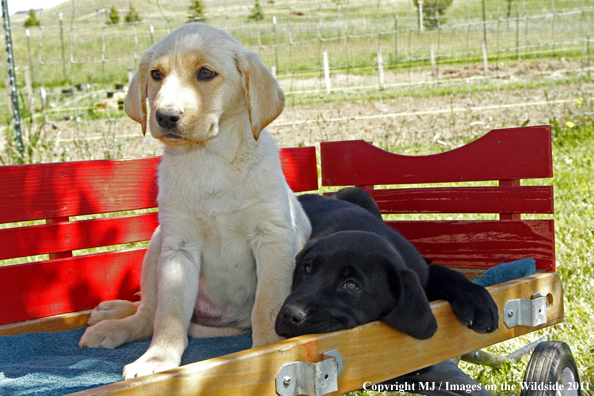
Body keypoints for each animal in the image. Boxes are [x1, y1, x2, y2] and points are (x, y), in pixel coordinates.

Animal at [80, 22, 310, 380]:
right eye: (156, 74)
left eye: (205, 73)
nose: (165, 115)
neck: (208, 160)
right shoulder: (179, 248)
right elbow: (169, 314)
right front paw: (158, 360)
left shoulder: (272, 238)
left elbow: (268, 303)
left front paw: (268, 351)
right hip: (157, 245)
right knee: (147, 312)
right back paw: (114, 322)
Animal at [276, 189, 498, 340]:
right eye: (307, 268)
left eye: (351, 285)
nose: (290, 314)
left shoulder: (419, 271)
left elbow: (441, 270)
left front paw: (477, 300)